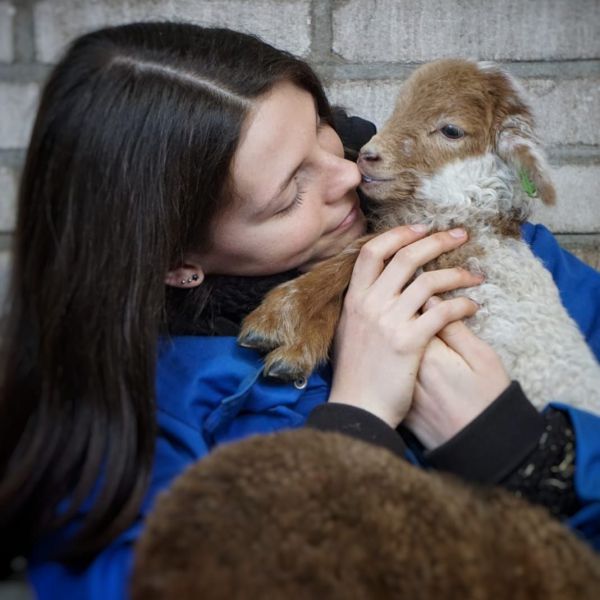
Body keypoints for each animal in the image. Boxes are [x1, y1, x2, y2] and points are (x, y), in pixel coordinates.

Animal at [239, 58, 600, 412]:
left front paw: (273, 322)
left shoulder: (438, 239)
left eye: (451, 130)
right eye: (398, 107)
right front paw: (294, 353)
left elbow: (353, 255)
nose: (368, 155)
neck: (474, 209)